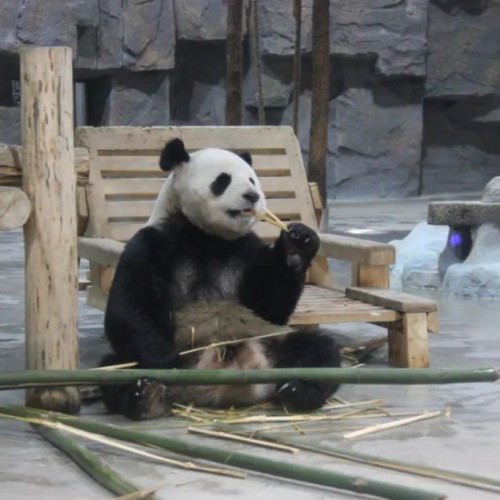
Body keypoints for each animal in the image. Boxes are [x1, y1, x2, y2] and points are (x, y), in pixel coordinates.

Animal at [103, 139, 342, 420]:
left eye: (252, 179)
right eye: (223, 180)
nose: (252, 196)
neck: (208, 237)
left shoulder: (245, 249)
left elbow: (269, 304)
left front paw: (298, 243)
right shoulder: (154, 243)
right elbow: (131, 304)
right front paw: (163, 359)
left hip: (270, 342)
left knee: (319, 349)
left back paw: (297, 391)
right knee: (113, 367)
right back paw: (146, 396)